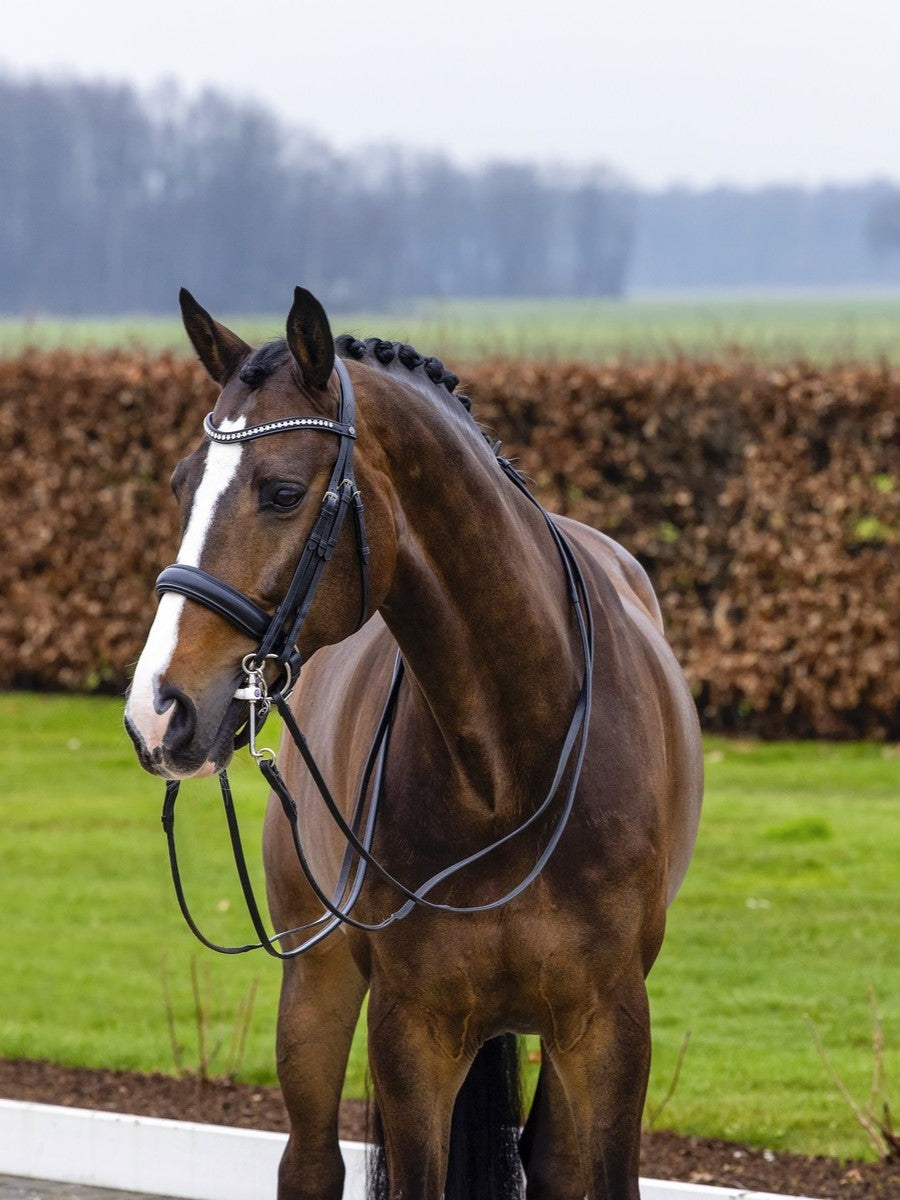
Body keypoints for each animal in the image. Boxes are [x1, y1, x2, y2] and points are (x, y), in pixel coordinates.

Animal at [125, 290, 705, 1200]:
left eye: (283, 491)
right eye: (184, 484)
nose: (158, 710)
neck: (510, 767)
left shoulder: (609, 1026)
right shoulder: (415, 1032)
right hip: (317, 983)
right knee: (311, 1161)